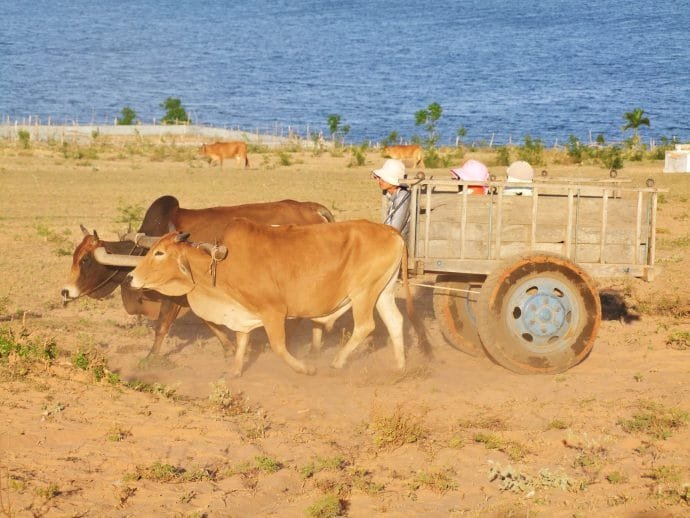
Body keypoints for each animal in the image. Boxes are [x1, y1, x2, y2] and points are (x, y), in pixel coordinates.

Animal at [60, 195, 334, 358]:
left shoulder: (171, 297)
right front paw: (229, 348)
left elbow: (162, 327)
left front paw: (149, 359)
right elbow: (208, 322)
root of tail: (313, 208)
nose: (65, 291)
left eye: (85, 260)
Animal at [125, 219, 424, 378]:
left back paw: (338, 362)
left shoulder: (273, 312)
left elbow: (279, 346)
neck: (223, 265)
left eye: (160, 253)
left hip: (363, 292)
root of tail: (392, 232)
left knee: (365, 326)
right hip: (383, 291)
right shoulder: (243, 314)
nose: (131, 277)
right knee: (395, 322)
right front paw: (235, 371)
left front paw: (305, 369)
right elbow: (241, 341)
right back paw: (399, 366)